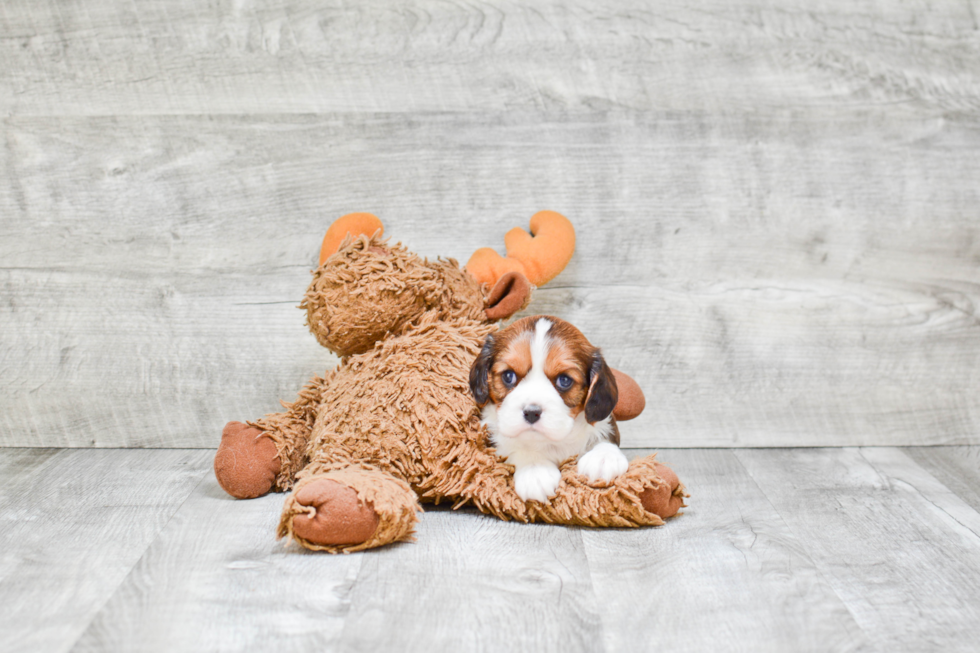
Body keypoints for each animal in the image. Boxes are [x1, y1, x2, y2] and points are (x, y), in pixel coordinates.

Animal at [470, 314, 632, 500]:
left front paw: (602, 458)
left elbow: (606, 436)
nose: (531, 413)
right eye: (508, 376)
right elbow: (516, 447)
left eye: (565, 380)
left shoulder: (605, 421)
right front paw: (534, 470)